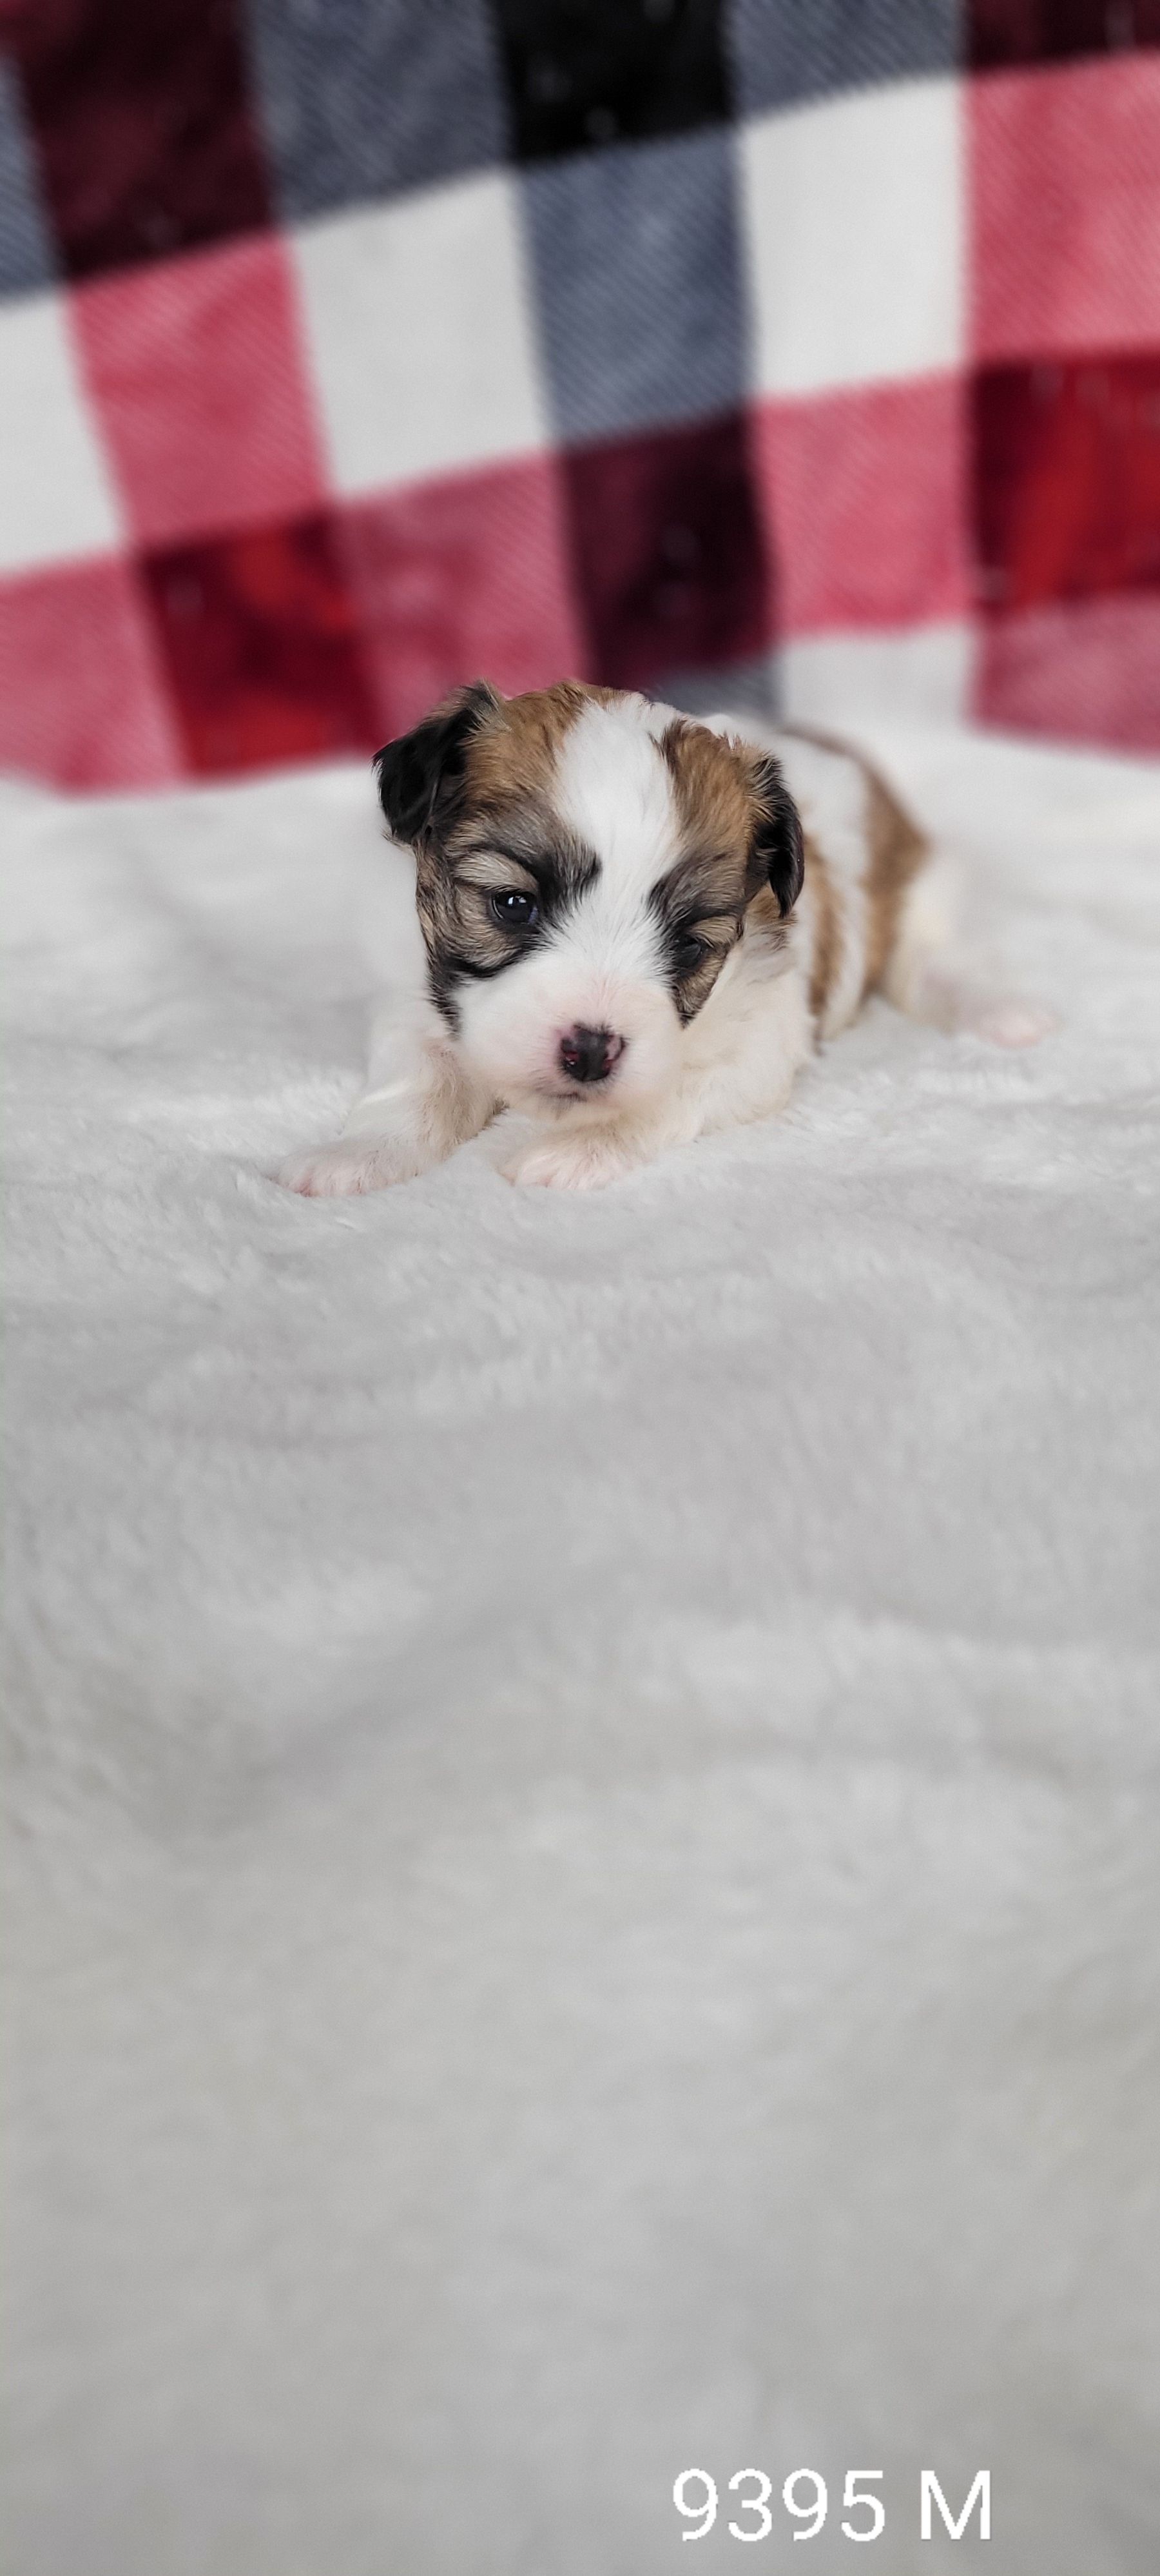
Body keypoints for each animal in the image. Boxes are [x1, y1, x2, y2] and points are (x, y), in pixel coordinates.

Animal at [281, 685, 1052, 1205]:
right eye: (514, 905)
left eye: (686, 947)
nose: (590, 1051)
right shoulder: (416, 1003)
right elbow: (415, 1084)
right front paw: (357, 1155)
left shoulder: (761, 1038)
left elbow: (667, 1092)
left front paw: (575, 1150)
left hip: (922, 888)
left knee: (928, 962)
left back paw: (1002, 1015)